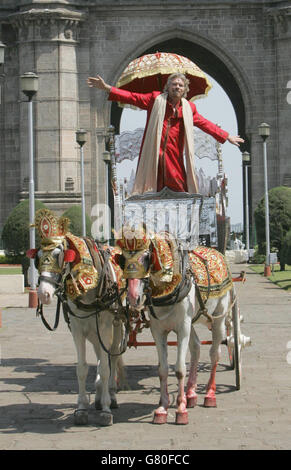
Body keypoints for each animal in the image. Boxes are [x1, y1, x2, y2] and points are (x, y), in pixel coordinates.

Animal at [28, 209, 128, 426]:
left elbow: (106, 366)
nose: (43, 294)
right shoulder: (77, 328)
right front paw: (82, 407)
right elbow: (82, 368)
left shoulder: (105, 326)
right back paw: (98, 393)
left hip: (117, 324)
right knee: (101, 356)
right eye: (37, 257)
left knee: (113, 355)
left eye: (59, 256)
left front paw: (106, 409)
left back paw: (111, 395)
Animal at [114, 229, 237, 428]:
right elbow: (163, 369)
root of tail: (218, 253)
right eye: (123, 259)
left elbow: (179, 369)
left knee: (214, 353)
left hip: (219, 315)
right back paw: (191, 394)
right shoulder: (158, 330)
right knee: (196, 347)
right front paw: (162, 408)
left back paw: (209, 394)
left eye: (147, 257)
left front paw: (181, 410)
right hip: (193, 320)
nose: (133, 297)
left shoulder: (182, 327)